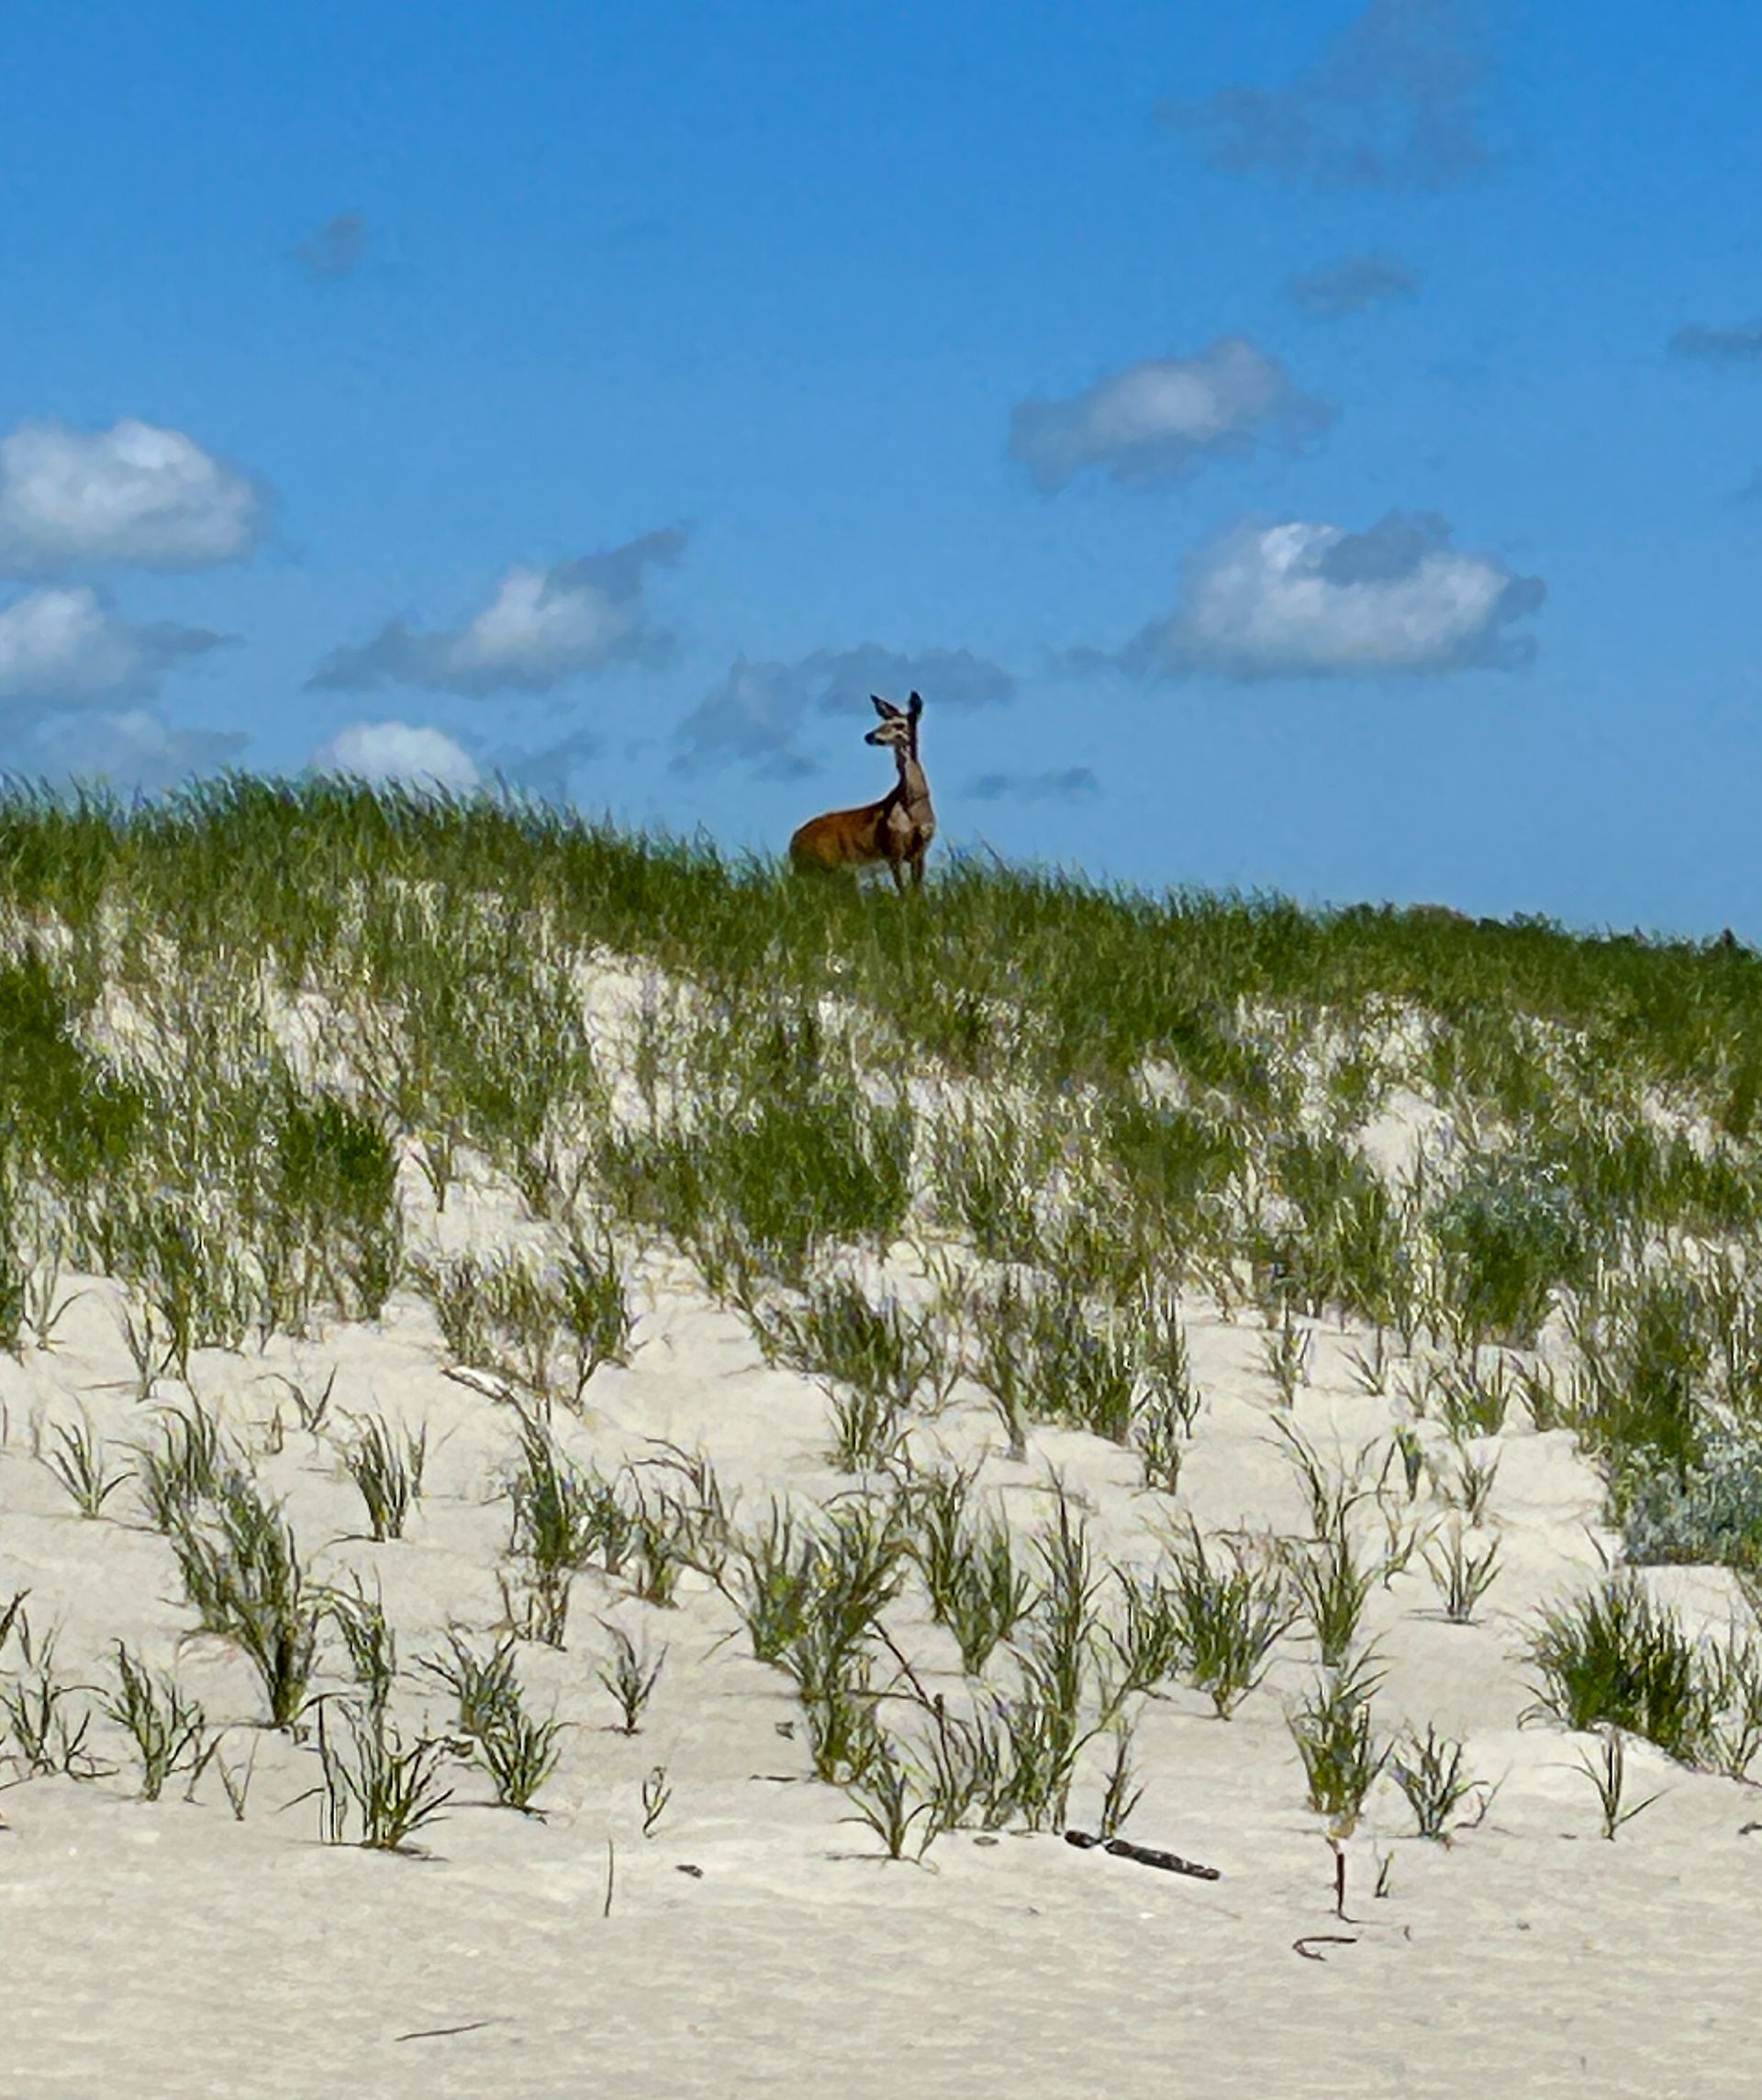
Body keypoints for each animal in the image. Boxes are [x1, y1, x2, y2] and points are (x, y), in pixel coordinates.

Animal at [788, 691, 935, 892]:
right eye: (881, 722)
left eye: (899, 724)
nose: (870, 736)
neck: (912, 808)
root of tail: (793, 843)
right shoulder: (892, 848)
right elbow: (903, 892)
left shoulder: (920, 850)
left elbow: (917, 891)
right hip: (823, 866)